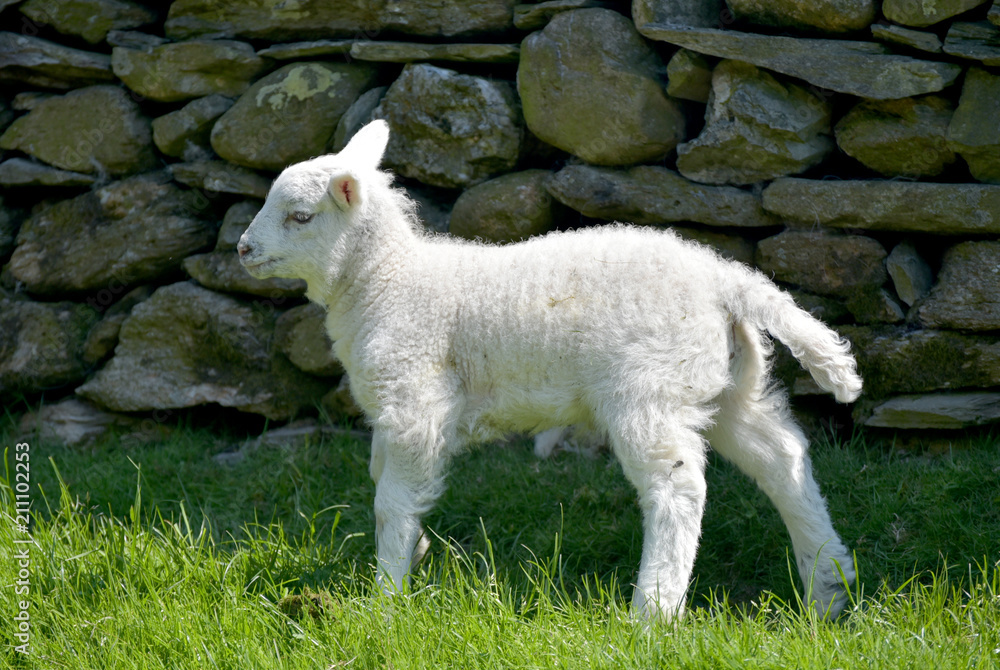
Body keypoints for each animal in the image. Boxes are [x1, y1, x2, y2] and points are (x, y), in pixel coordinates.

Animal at [237, 120, 862, 620]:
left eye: (300, 216)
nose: (242, 248)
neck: (388, 280)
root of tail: (723, 278)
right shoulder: (394, 409)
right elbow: (379, 476)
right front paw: (414, 555)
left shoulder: (415, 399)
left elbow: (391, 500)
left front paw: (386, 594)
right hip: (724, 381)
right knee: (783, 460)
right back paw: (828, 588)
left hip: (650, 387)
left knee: (677, 487)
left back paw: (652, 613)